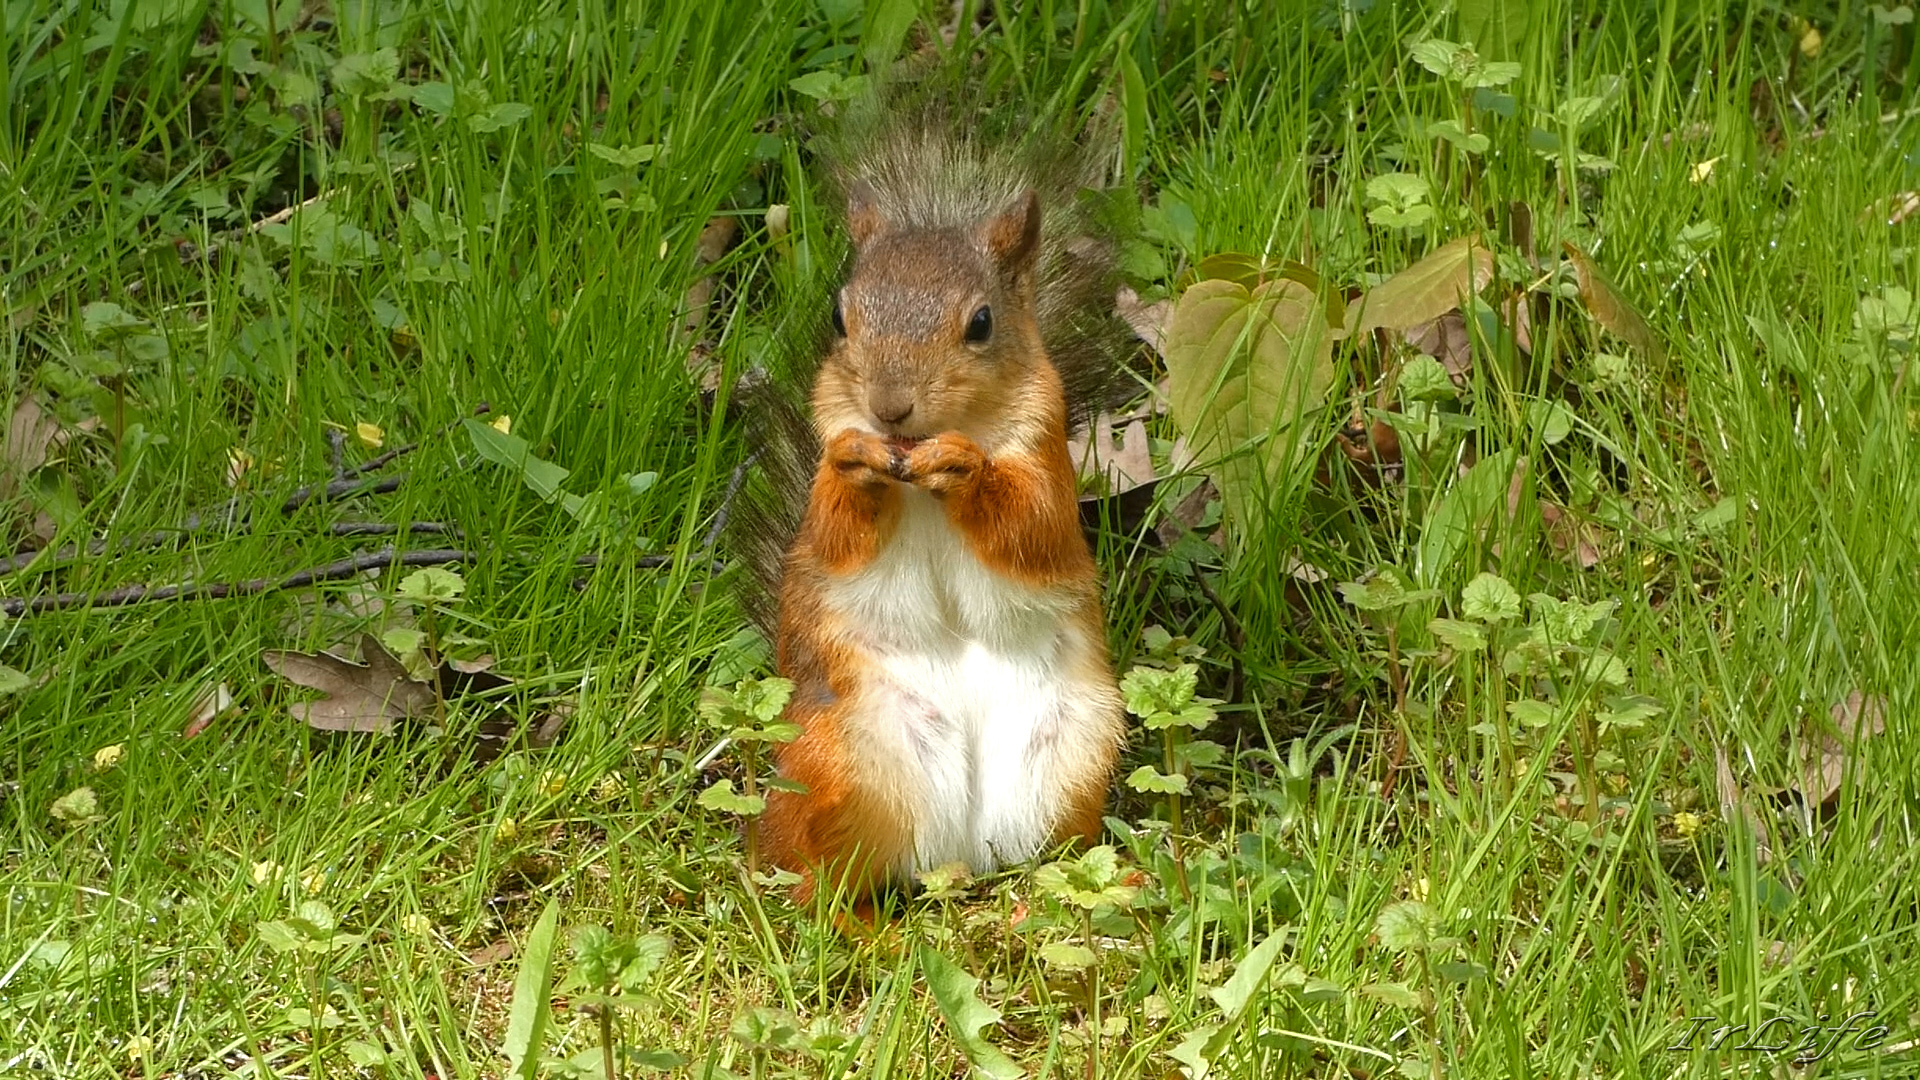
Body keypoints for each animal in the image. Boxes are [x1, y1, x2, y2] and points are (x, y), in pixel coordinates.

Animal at [744, 102, 1136, 899]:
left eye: (981, 323)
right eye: (840, 317)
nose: (888, 407)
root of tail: (955, 849)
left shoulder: (1044, 454)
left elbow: (1033, 530)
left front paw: (966, 470)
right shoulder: (826, 473)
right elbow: (829, 536)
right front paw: (855, 464)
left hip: (1074, 748)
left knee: (1059, 862)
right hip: (839, 756)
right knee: (806, 881)